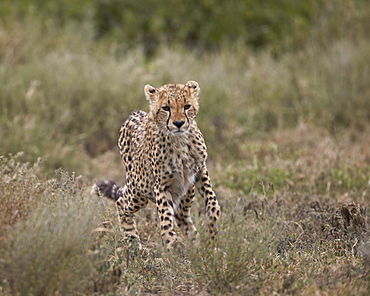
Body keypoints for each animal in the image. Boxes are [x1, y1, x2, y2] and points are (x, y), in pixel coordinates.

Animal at [94, 80, 221, 249]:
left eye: (187, 106)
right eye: (166, 108)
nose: (179, 123)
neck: (179, 140)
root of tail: (134, 113)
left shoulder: (200, 172)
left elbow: (213, 205)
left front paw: (212, 235)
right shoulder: (161, 186)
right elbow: (165, 218)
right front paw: (171, 244)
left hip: (186, 192)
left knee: (183, 218)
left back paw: (196, 247)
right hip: (140, 189)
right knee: (121, 202)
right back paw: (132, 242)